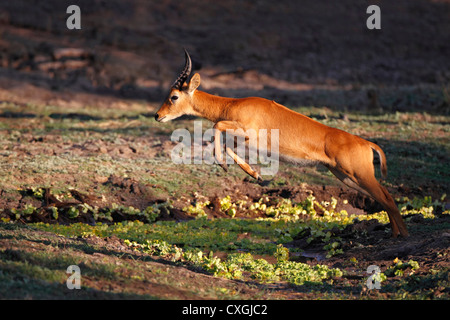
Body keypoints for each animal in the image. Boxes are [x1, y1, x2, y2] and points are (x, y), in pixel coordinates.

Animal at [156, 50, 410, 238]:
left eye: (174, 96)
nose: (158, 115)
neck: (232, 104)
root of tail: (366, 143)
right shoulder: (244, 139)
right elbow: (228, 145)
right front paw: (255, 175)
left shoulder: (243, 130)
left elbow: (216, 126)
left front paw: (228, 166)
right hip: (346, 176)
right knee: (383, 198)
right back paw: (396, 234)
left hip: (358, 174)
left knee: (387, 198)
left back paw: (403, 236)